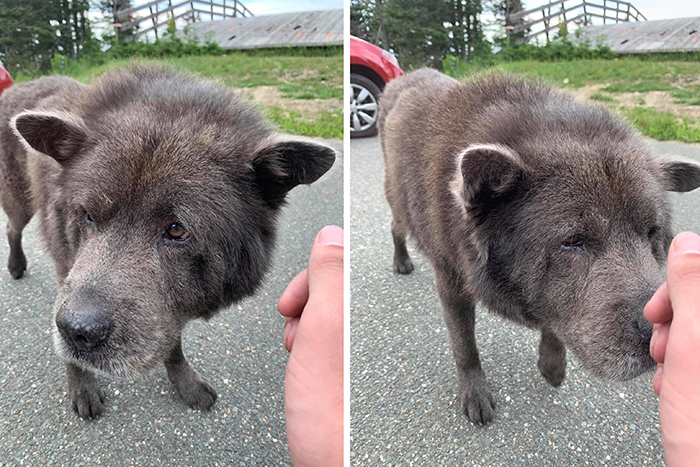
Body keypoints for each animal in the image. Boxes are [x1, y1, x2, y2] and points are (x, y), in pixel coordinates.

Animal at [0, 66, 336, 420]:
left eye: (176, 231)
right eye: (88, 215)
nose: (75, 331)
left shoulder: (168, 307)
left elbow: (173, 343)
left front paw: (185, 383)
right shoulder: (67, 267)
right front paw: (81, 384)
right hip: (20, 202)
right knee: (11, 226)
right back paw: (16, 264)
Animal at [380, 68, 700, 424]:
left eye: (652, 232)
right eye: (573, 241)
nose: (663, 335)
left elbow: (552, 317)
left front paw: (553, 363)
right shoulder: (451, 281)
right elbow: (465, 346)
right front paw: (474, 391)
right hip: (398, 202)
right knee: (396, 227)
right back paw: (401, 260)